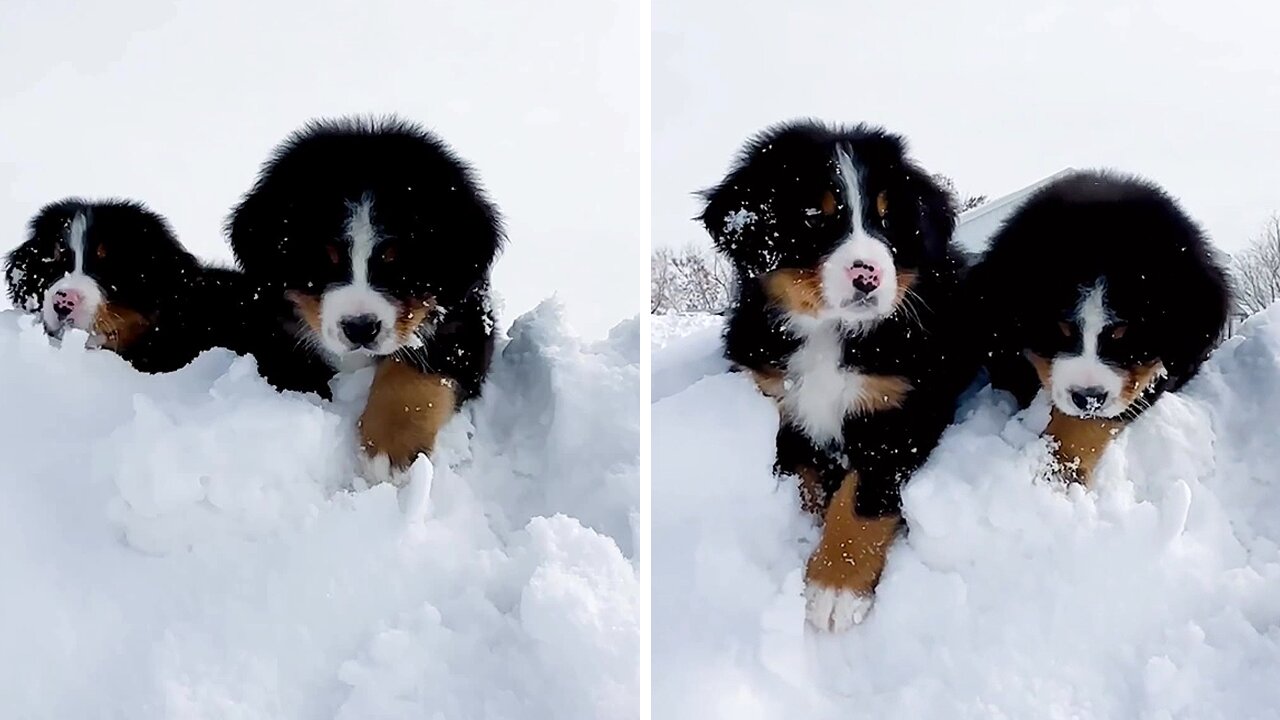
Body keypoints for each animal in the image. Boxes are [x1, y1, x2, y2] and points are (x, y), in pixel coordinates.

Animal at [227, 117, 506, 484]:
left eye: (398, 262)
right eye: (324, 260)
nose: (360, 328)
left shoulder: (464, 320)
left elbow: (414, 372)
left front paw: (391, 446)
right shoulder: (269, 322)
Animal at [701, 119, 967, 627]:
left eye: (888, 219)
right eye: (812, 217)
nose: (868, 276)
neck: (828, 334)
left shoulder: (899, 413)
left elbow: (862, 496)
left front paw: (835, 586)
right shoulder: (782, 400)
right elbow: (807, 473)